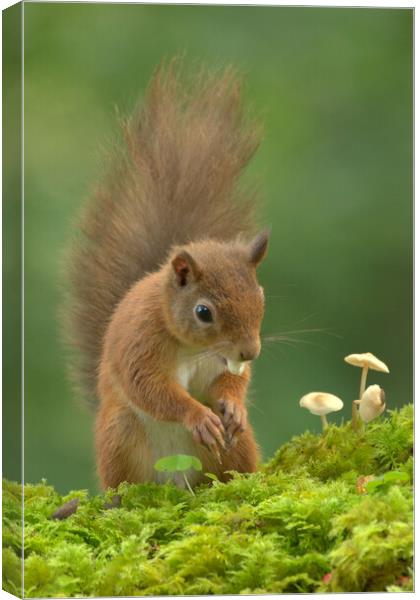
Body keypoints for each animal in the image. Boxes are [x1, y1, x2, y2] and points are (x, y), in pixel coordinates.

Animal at [65, 61, 270, 490]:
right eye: (203, 312)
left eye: (261, 298)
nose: (250, 352)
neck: (194, 349)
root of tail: (178, 482)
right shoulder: (140, 342)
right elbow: (152, 389)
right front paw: (198, 416)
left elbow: (234, 382)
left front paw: (232, 405)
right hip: (119, 434)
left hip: (238, 449)